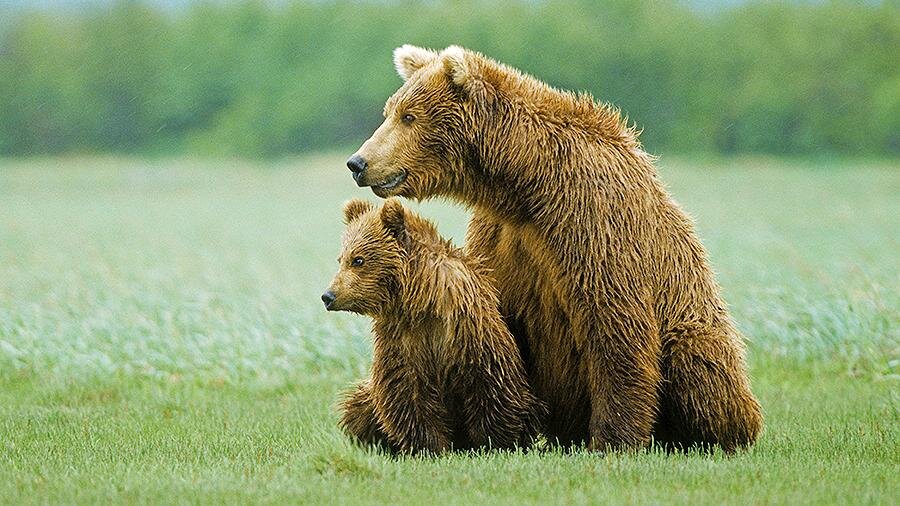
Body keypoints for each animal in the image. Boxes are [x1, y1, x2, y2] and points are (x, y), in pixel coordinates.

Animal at [344, 45, 760, 452]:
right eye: (389, 112)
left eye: (409, 116)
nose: (358, 162)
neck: (527, 185)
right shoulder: (503, 237)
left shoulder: (592, 221)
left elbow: (614, 324)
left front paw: (614, 439)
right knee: (360, 401)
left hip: (696, 327)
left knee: (698, 365)